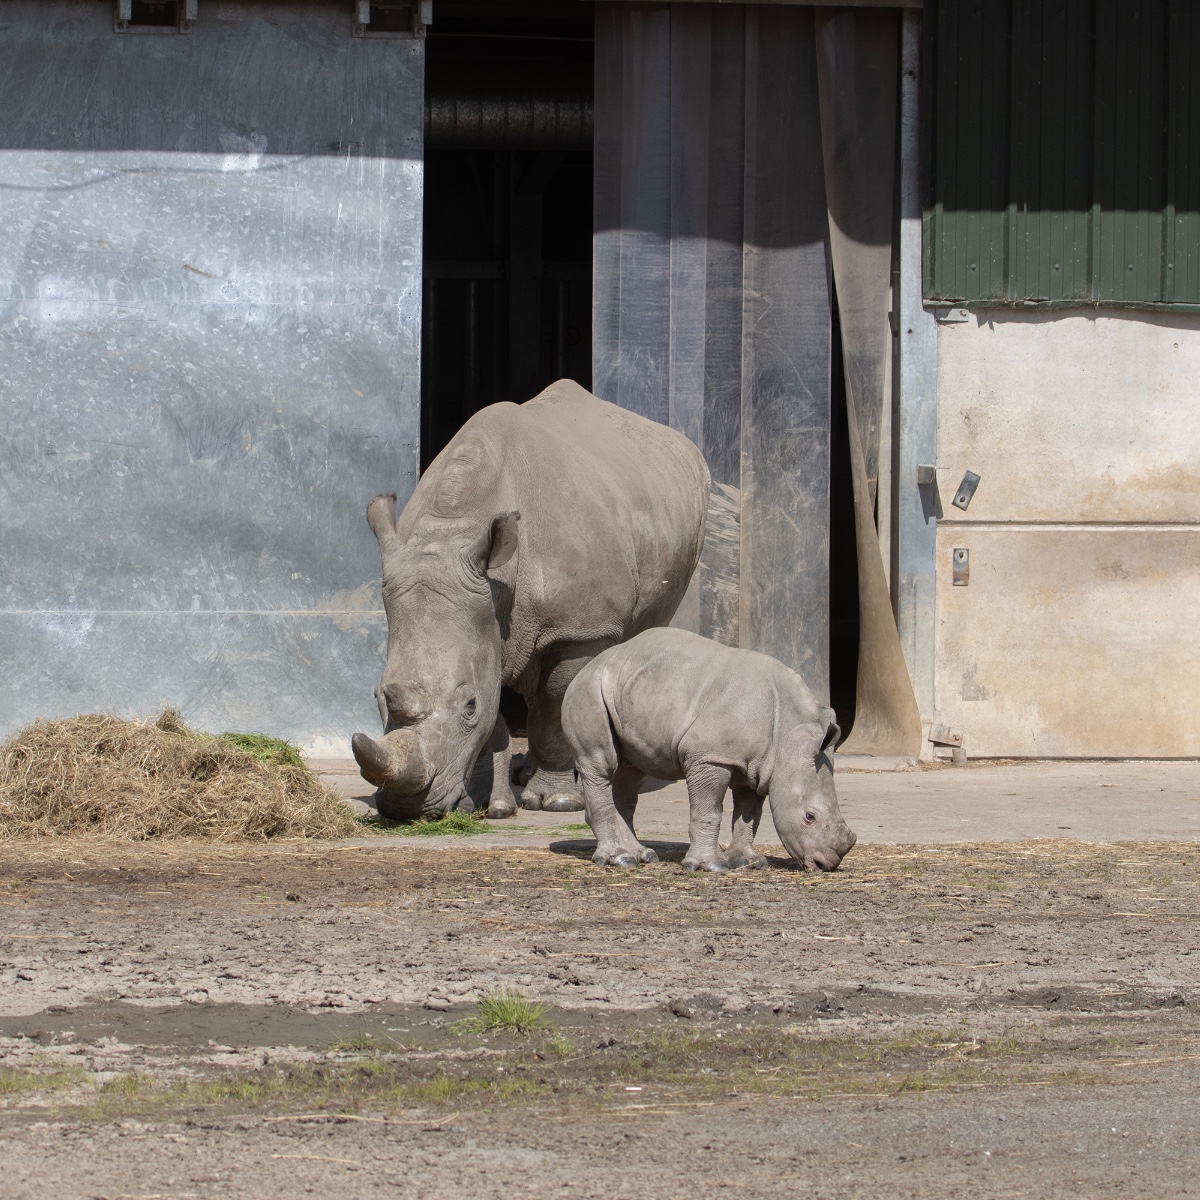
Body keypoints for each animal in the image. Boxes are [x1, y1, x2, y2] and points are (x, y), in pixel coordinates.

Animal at [355, 379, 710, 820]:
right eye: (377, 696)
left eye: (468, 705)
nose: (408, 809)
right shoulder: (487, 618)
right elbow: (498, 712)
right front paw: (480, 802)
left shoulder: (581, 628)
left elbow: (555, 706)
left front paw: (557, 803)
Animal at [559, 628, 854, 873]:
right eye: (809, 817)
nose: (826, 865)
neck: (787, 735)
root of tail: (587, 666)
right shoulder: (710, 758)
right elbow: (709, 811)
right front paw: (709, 866)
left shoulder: (758, 767)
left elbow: (749, 816)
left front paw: (749, 862)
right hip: (587, 690)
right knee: (601, 765)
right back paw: (618, 859)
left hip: (627, 690)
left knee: (628, 773)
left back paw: (641, 857)